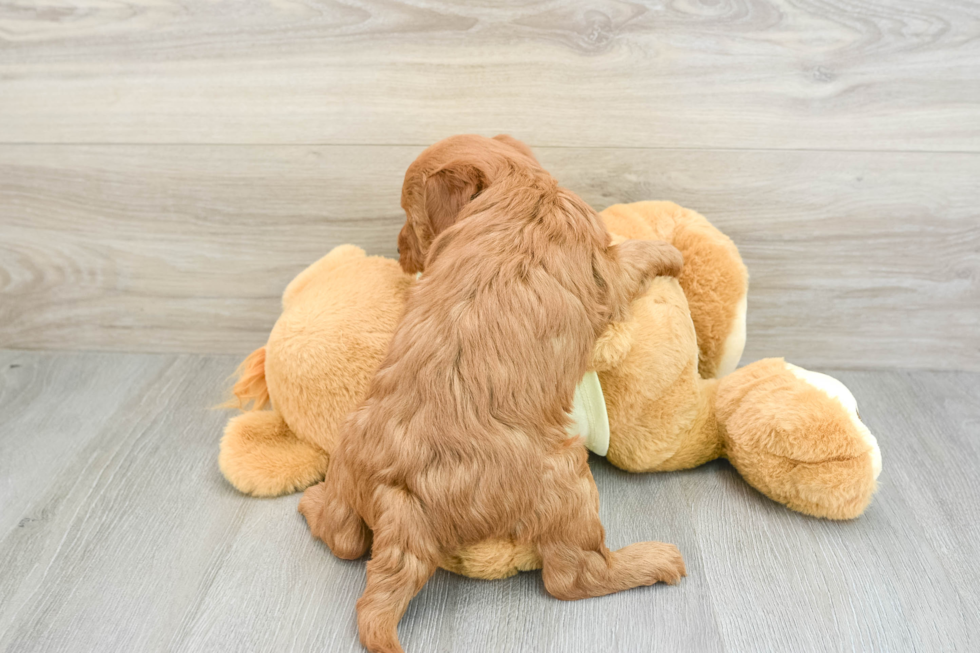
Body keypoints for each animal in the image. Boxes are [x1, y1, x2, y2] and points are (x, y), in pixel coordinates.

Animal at [302, 140, 684, 648]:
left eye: (409, 219)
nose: (400, 252)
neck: (519, 188)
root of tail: (400, 493)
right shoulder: (606, 269)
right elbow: (630, 255)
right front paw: (669, 251)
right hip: (567, 481)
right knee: (572, 578)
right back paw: (653, 560)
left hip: (348, 463)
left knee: (344, 539)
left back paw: (311, 503)